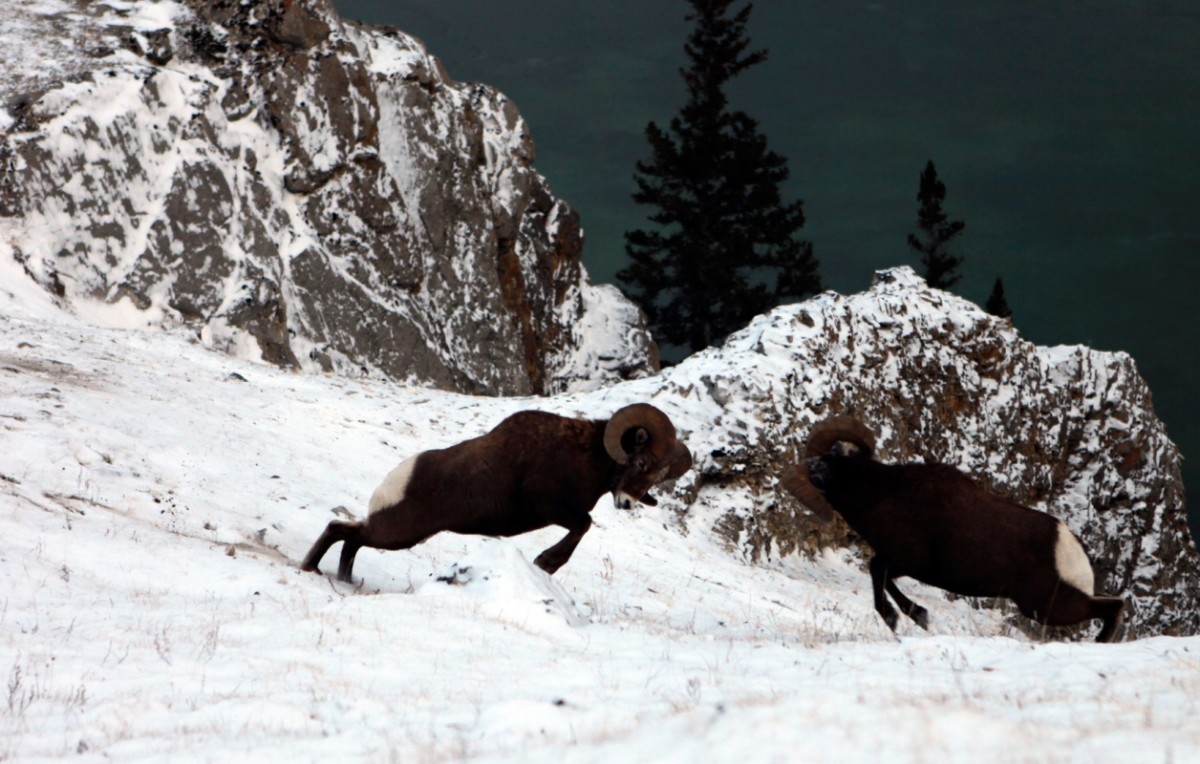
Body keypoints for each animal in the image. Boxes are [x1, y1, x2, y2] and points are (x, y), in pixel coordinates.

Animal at [300, 403, 692, 583]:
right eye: (640, 462)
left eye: (658, 477)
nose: (626, 503)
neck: (584, 456)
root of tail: (396, 481)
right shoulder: (549, 505)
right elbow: (584, 524)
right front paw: (545, 563)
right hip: (398, 534)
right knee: (342, 531)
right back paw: (311, 568)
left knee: (351, 540)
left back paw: (342, 579)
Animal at [781, 415, 1126, 642]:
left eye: (830, 463)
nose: (812, 468)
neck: (885, 495)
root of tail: (1068, 547)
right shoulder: (899, 563)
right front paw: (917, 616)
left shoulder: (905, 560)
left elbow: (876, 572)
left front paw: (899, 618)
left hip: (1045, 607)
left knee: (1113, 606)